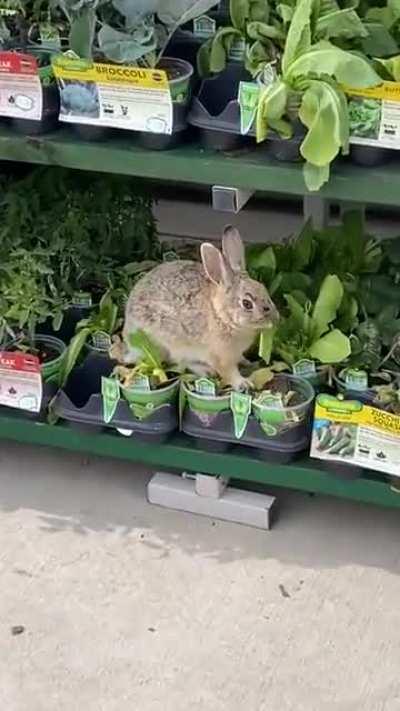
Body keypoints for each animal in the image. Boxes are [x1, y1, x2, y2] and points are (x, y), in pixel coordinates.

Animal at [121, 226, 279, 390]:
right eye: (247, 303)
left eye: (264, 289)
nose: (276, 318)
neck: (221, 316)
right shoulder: (220, 357)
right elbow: (229, 372)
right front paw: (243, 384)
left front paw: (245, 362)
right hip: (167, 345)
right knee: (179, 362)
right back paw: (206, 371)